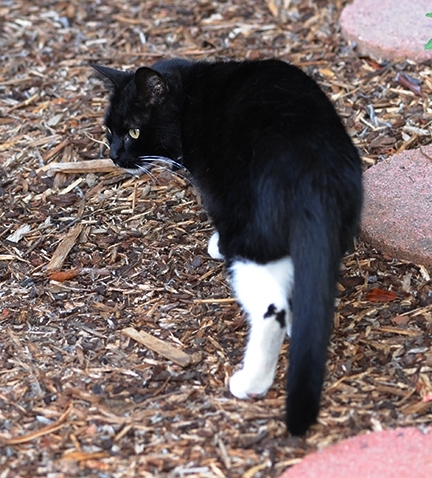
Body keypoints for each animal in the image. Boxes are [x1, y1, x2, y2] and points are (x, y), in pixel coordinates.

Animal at [93, 58, 362, 436]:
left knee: (271, 309)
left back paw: (251, 382)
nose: (115, 156)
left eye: (133, 132)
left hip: (252, 240)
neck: (192, 91)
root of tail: (312, 178)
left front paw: (216, 244)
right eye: (109, 131)